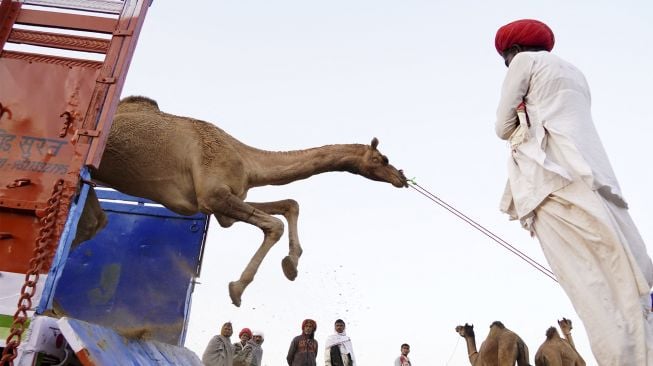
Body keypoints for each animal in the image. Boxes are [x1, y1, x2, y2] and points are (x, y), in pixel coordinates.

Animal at [85, 95, 408, 306]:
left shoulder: (224, 207)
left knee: (94, 221)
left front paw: (291, 264)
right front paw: (238, 289)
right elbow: (274, 225)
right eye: (382, 159)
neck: (247, 160)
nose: (401, 177)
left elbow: (290, 204)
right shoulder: (213, 195)